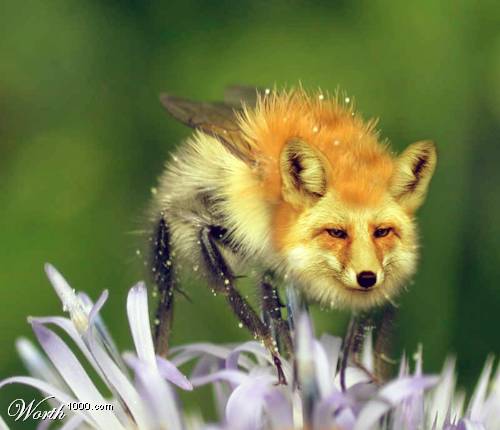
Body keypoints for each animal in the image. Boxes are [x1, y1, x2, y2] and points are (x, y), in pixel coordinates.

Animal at [148, 86, 437, 383]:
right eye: (336, 232)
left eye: (382, 232)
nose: (367, 278)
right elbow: (256, 297)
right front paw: (282, 365)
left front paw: (367, 372)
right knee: (171, 285)